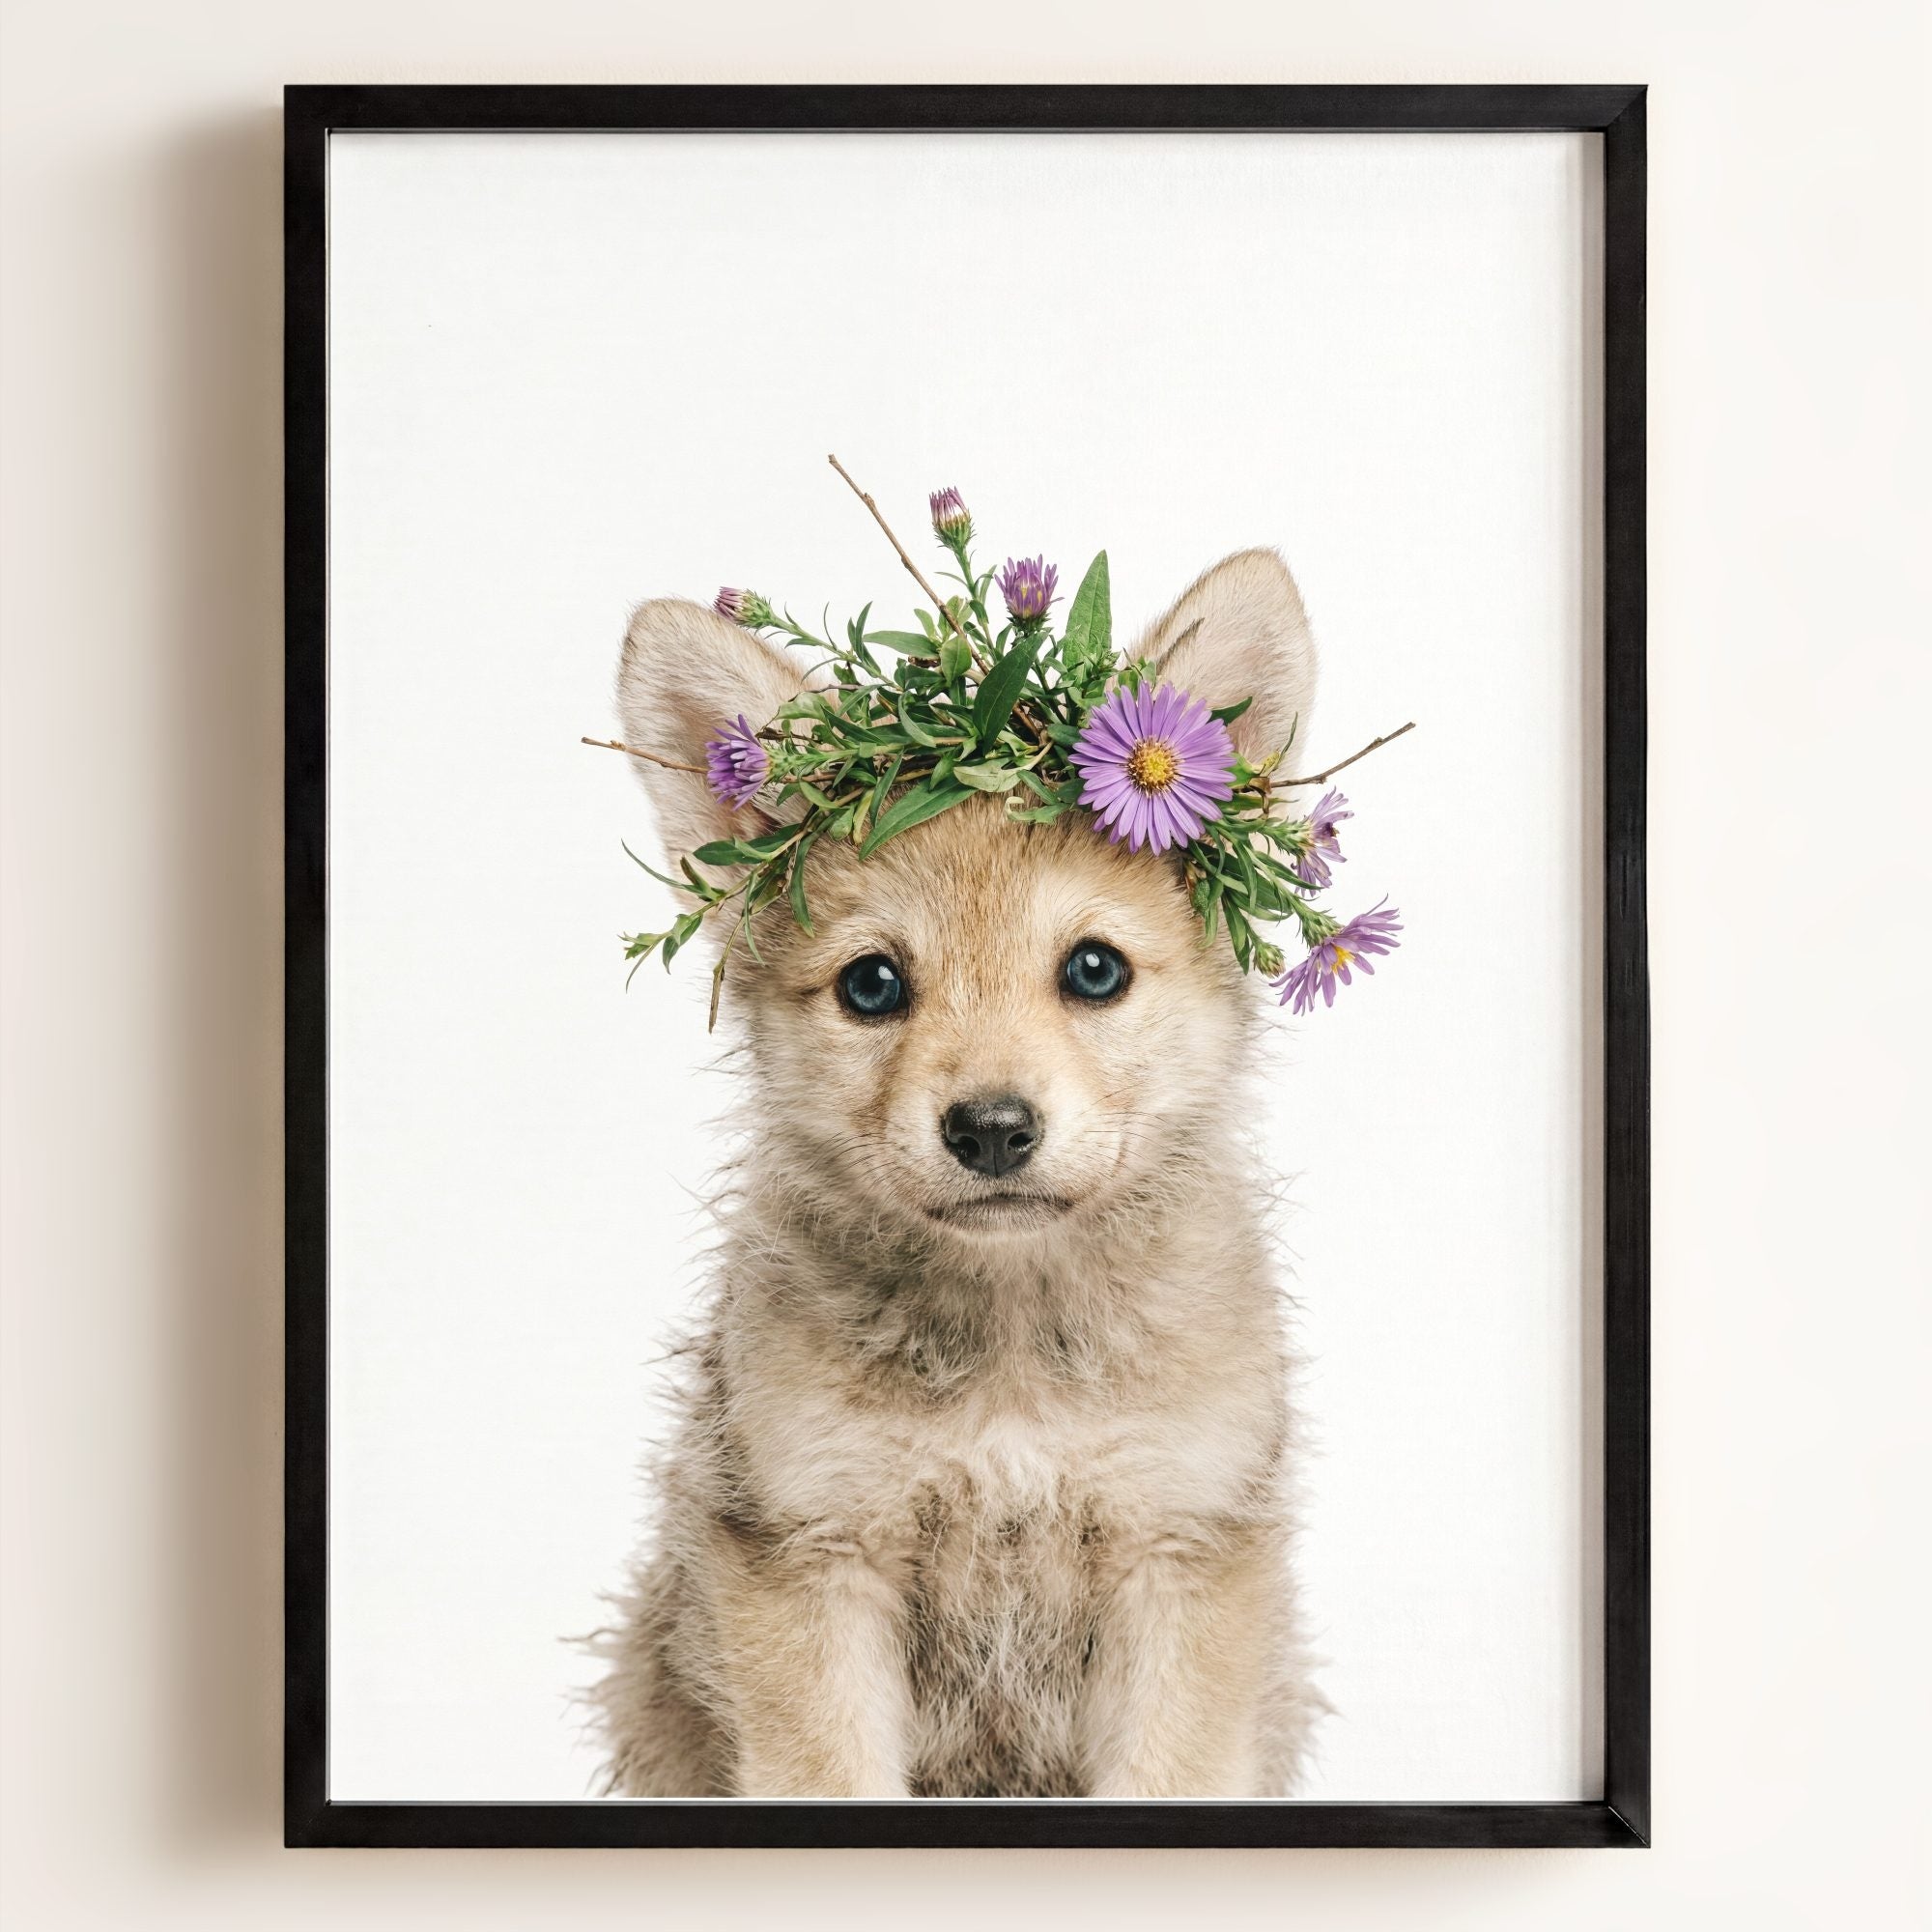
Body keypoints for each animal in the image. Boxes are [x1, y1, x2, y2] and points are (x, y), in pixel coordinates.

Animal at [590, 549, 1327, 1798]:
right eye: (871, 984)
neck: (1011, 1357)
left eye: (1093, 969)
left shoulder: (1177, 1552)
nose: (989, 1128)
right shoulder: (813, 1556)